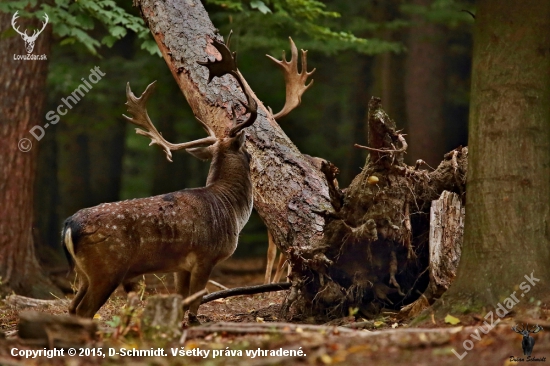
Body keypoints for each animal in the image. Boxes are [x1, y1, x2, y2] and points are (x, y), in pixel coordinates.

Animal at [61, 37, 260, 324]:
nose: (256, 157)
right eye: (247, 152)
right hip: (107, 267)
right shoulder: (205, 256)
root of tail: (69, 225)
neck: (230, 209)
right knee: (85, 310)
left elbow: (181, 301)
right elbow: (194, 305)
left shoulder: (181, 265)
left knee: (72, 307)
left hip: (85, 272)